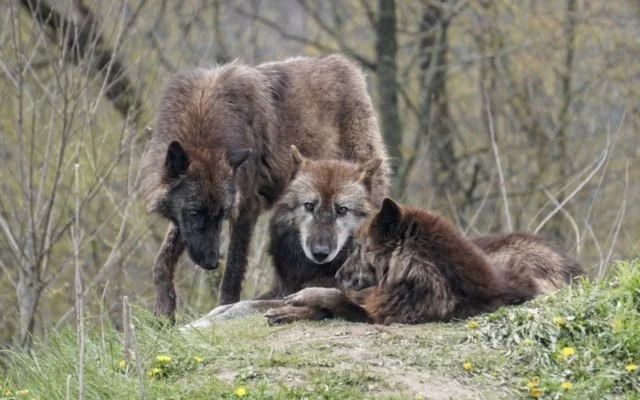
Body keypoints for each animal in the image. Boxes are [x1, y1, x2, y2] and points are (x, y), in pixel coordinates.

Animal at [141, 55, 390, 322]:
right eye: (195, 212)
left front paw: (224, 306)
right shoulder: (183, 221)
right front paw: (164, 312)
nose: (211, 263)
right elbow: (161, 261)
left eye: (221, 214)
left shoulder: (246, 207)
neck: (204, 120)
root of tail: (344, 63)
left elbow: (233, 269)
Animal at [265, 198, 584, 325]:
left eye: (359, 247)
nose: (339, 273)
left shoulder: (380, 314)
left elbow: (336, 298)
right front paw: (292, 308)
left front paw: (304, 298)